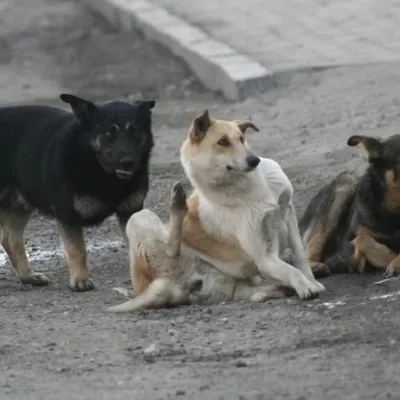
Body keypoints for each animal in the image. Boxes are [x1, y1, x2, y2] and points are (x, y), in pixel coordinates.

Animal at [0, 95, 155, 292]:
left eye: (134, 131)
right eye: (109, 133)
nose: (127, 162)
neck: (101, 171)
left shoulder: (130, 211)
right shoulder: (68, 216)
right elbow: (77, 250)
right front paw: (80, 279)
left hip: (20, 204)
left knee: (10, 239)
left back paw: (28, 276)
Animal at [107, 110, 324, 312]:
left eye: (241, 138)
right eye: (223, 142)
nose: (254, 160)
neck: (247, 188)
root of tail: (171, 288)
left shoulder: (288, 212)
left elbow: (300, 258)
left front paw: (311, 281)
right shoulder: (264, 257)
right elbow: (290, 270)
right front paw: (306, 287)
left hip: (235, 285)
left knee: (253, 292)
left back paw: (275, 290)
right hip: (139, 217)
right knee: (170, 247)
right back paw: (177, 203)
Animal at [298, 134, 400, 278]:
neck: (393, 212)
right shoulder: (343, 252)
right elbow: (362, 239)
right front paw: (389, 258)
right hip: (345, 183)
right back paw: (315, 267)